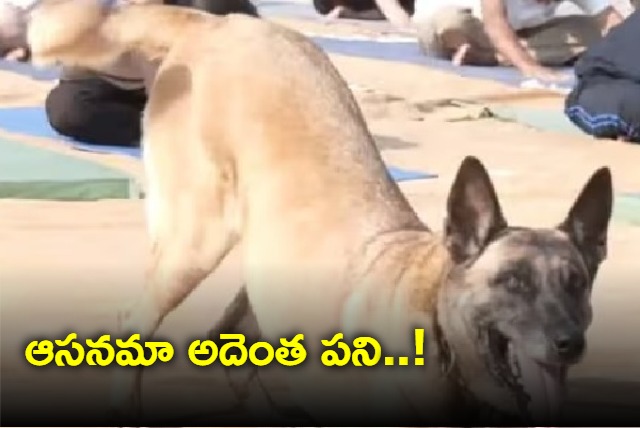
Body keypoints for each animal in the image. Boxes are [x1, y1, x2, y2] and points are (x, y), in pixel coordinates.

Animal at [27, 1, 612, 426]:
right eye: (510, 281)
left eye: (577, 284)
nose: (570, 344)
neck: (442, 330)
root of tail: (218, 21)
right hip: (194, 242)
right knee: (134, 322)